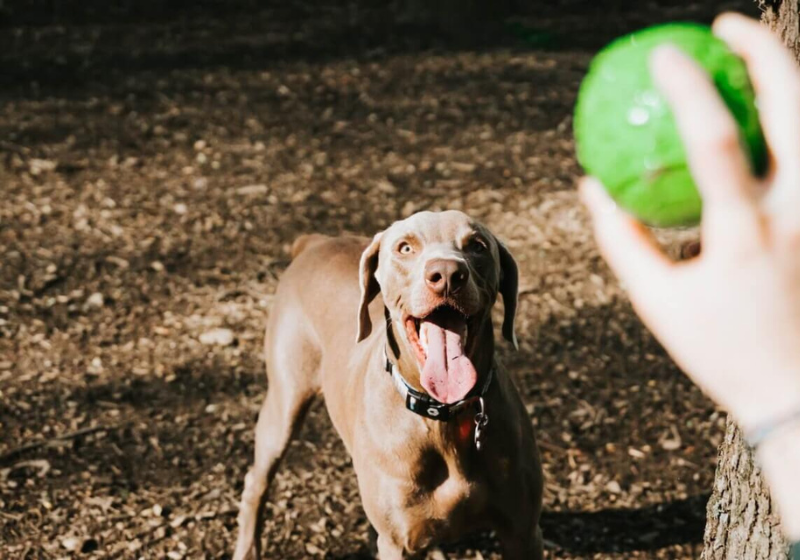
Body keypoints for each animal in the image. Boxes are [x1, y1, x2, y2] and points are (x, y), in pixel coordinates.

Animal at [233, 211, 544, 560]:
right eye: (405, 247)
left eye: (477, 246)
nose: (447, 275)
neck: (443, 416)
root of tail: (315, 243)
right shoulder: (399, 543)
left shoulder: (523, 533)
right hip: (284, 402)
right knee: (256, 482)